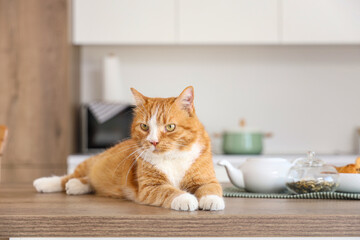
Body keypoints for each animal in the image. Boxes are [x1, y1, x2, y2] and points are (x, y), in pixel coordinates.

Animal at [34, 87, 225, 211]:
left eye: (170, 127)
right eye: (144, 126)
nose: (153, 142)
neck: (171, 157)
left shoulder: (206, 179)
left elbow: (211, 188)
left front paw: (212, 200)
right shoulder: (150, 187)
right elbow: (169, 191)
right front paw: (185, 198)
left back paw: (77, 185)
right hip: (92, 162)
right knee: (69, 176)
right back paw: (46, 183)